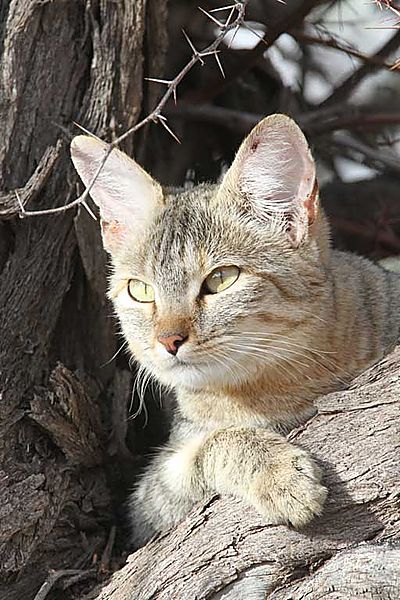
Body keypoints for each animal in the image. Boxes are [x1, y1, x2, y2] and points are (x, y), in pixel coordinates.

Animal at [70, 113, 400, 548]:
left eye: (221, 279)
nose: (168, 340)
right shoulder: (150, 503)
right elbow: (211, 444)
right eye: (140, 291)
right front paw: (275, 471)